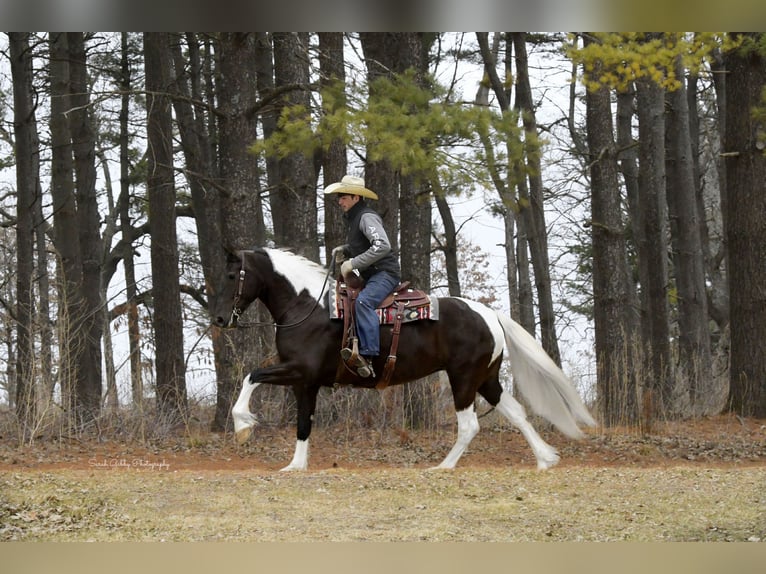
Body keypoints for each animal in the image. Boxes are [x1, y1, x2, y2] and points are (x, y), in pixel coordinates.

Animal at [212, 247, 596, 471]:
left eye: (232, 275)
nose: (218, 318)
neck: (306, 306)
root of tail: (490, 314)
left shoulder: (297, 371)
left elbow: (251, 375)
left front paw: (243, 426)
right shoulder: (305, 382)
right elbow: (303, 424)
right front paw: (295, 466)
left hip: (463, 379)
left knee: (469, 425)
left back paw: (442, 467)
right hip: (486, 379)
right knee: (516, 413)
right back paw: (545, 459)